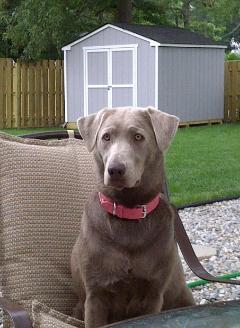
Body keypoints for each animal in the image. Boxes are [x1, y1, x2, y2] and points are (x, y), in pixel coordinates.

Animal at [71, 106, 195, 326]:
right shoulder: (95, 295)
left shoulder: (153, 293)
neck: (128, 210)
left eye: (138, 137)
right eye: (106, 137)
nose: (115, 169)